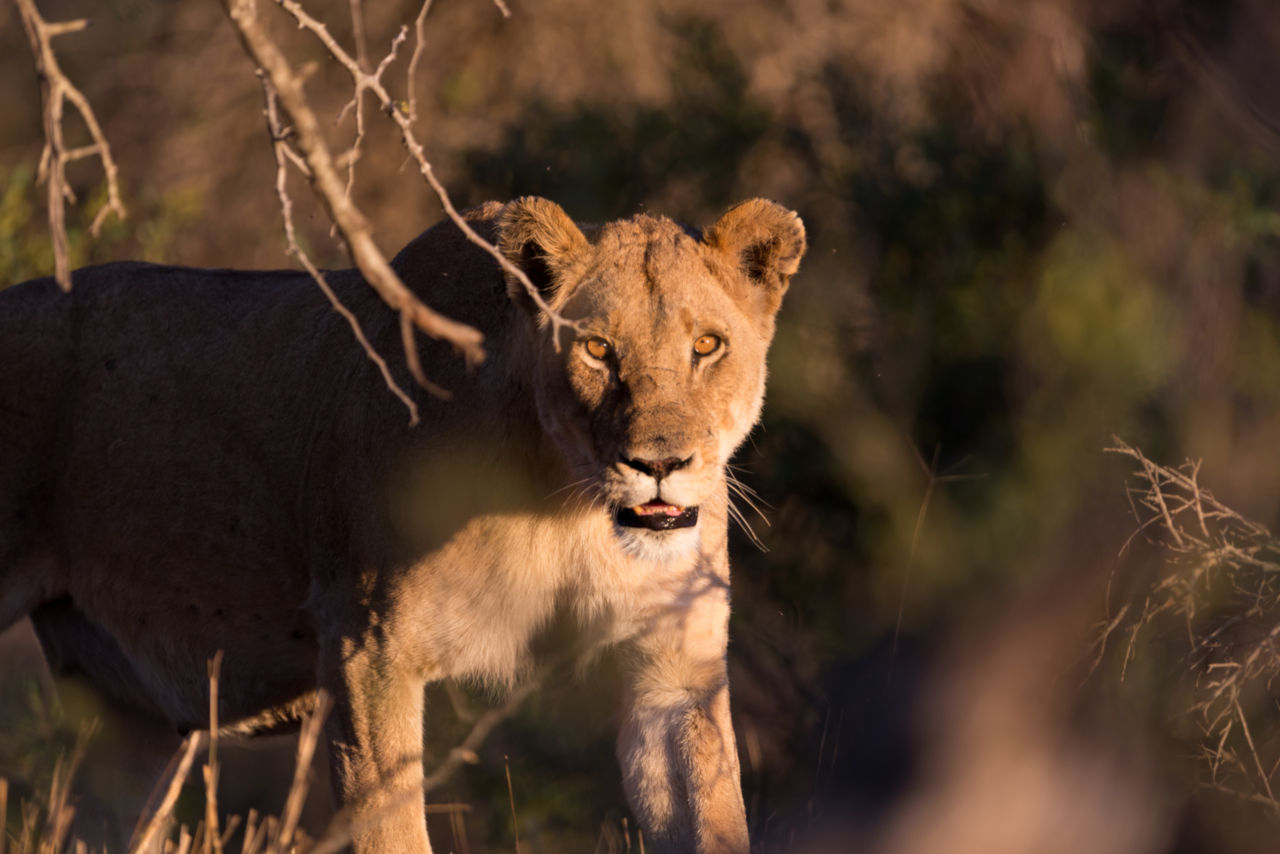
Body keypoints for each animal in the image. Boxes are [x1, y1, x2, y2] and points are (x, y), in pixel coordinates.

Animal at [0, 198, 798, 854]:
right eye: (598, 349)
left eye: (707, 346)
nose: (660, 463)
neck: (565, 507)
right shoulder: (369, 650)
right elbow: (392, 830)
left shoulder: (674, 670)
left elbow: (711, 814)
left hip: (128, 720)